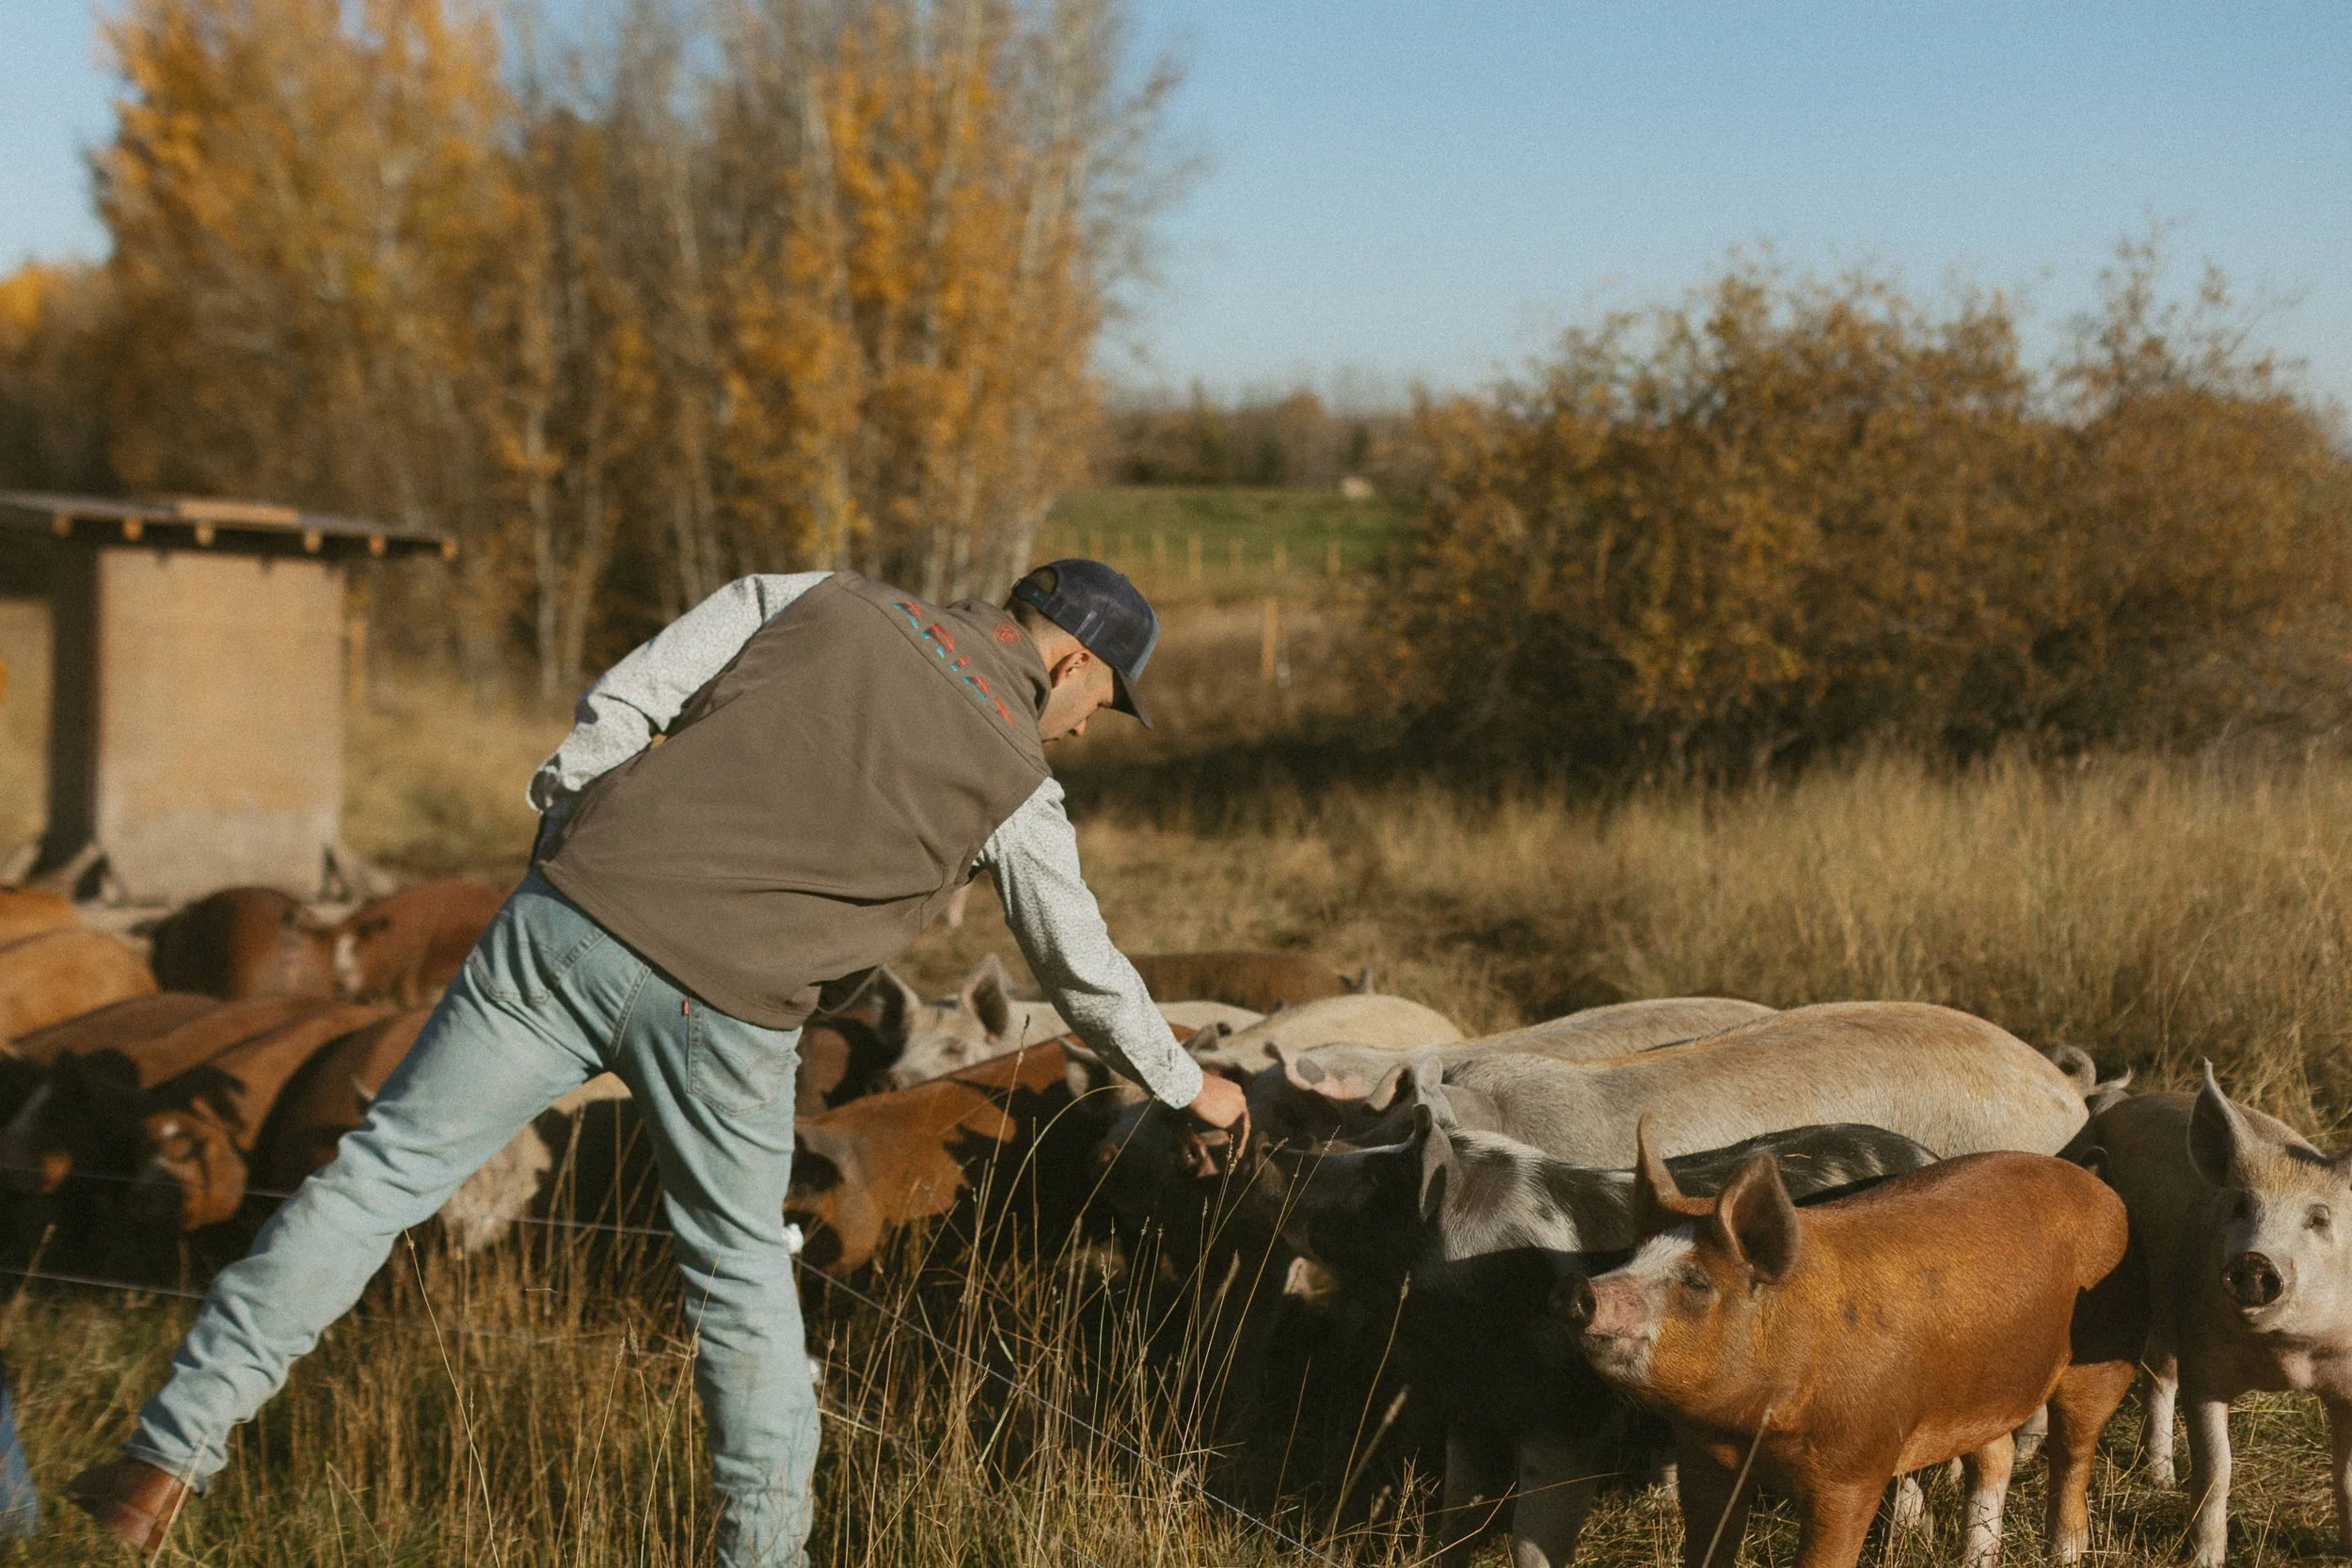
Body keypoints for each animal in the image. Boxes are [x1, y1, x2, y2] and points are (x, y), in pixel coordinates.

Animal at [1279, 1094, 1936, 1568]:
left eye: (1375, 1180)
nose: (1290, 1151)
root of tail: (1925, 1154)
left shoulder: (1566, 1423)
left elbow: (1532, 1542)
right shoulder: (1470, 1414)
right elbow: (1454, 1524)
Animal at [1565, 1125, 2144, 1568]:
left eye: (1697, 1282)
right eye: (1636, 1255)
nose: (1586, 1291)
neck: (1751, 1429)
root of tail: (2097, 1187)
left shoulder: (1856, 1462)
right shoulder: (1704, 1456)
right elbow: (1707, 1541)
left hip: (2103, 1354)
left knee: (2073, 1455)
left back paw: (2065, 1553)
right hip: (1985, 1385)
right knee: (1994, 1454)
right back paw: (1974, 1559)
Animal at [2076, 1065, 2352, 1567]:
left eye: (2319, 1219)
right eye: (2241, 1206)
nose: (2255, 1261)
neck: (2286, 1357)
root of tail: (2117, 1102)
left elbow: (2345, 1476)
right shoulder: (2203, 1363)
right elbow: (2215, 1470)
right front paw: (2204, 1559)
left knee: (2158, 1379)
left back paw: (2160, 1479)